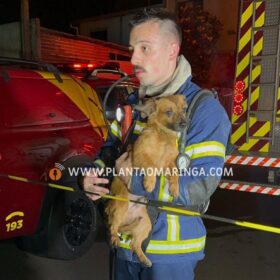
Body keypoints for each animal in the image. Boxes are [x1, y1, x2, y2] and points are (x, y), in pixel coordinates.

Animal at [105, 95, 188, 266]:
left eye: (184, 109)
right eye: (169, 112)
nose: (185, 124)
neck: (163, 135)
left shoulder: (170, 164)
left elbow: (175, 173)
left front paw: (174, 188)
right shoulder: (139, 155)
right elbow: (150, 167)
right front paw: (150, 184)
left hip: (144, 224)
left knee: (134, 244)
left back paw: (144, 259)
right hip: (120, 206)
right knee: (112, 226)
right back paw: (115, 238)